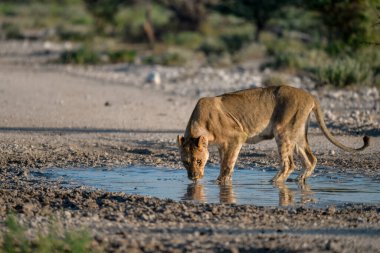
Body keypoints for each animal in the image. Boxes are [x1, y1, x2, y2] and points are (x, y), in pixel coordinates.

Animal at [177, 85, 370, 184]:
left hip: (283, 131)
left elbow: (227, 165)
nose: (193, 177)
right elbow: (226, 164)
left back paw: (274, 182)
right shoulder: (222, 145)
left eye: (199, 161)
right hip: (297, 134)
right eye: (186, 163)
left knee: (289, 163)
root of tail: (310, 95)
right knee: (311, 159)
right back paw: (300, 180)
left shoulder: (237, 137)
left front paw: (220, 182)